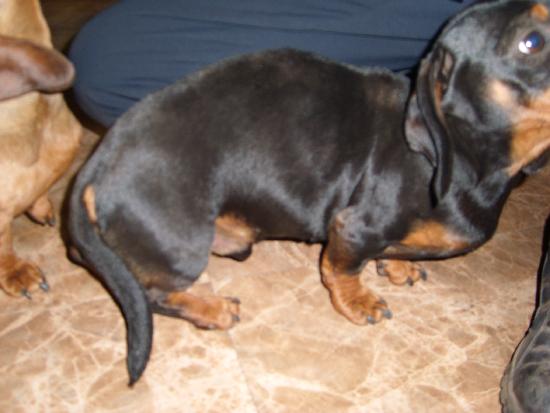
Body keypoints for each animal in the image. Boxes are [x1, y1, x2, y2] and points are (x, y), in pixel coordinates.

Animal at [68, 0, 550, 384]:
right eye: (531, 41)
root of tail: (99, 160)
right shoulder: (353, 227)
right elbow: (341, 267)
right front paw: (359, 302)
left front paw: (397, 266)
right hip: (183, 246)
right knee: (154, 295)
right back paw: (212, 308)